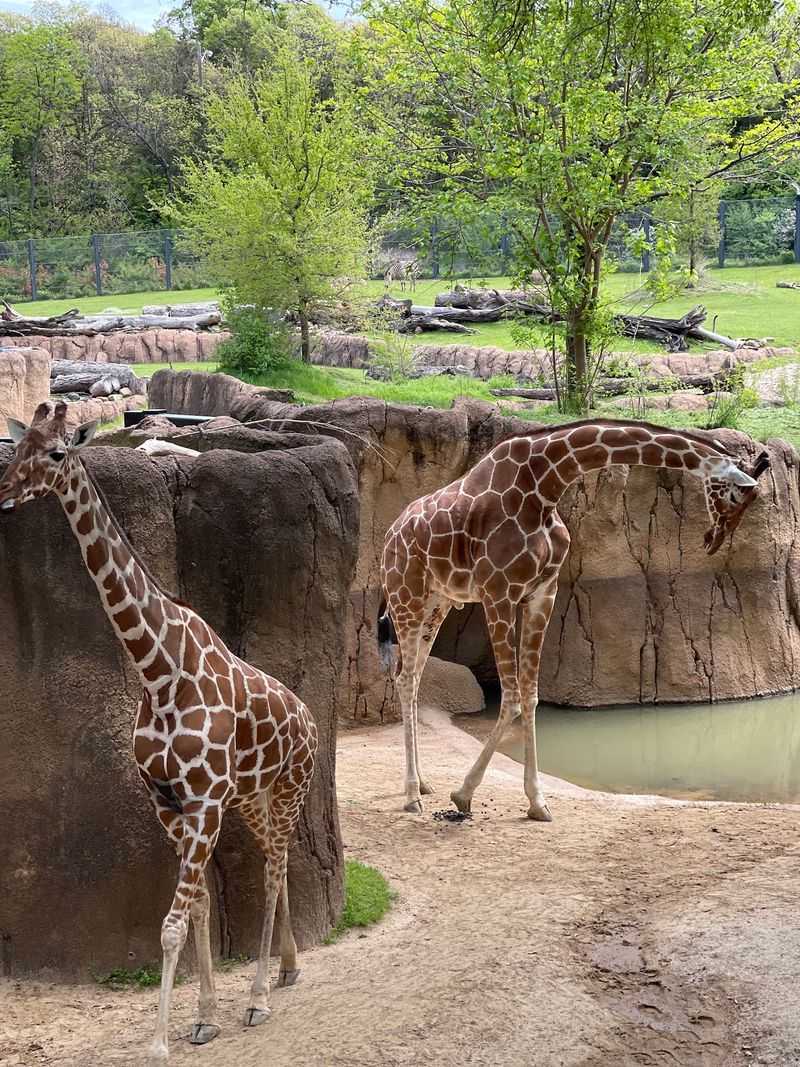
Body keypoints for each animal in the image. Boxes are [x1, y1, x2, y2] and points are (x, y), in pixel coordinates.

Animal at [0, 402, 318, 1066]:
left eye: (57, 453)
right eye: (17, 448)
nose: (6, 495)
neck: (157, 669)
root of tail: (310, 718)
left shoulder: (201, 801)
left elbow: (172, 923)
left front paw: (161, 1041)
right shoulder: (169, 801)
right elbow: (195, 910)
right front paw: (202, 1018)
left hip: (286, 790)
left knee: (274, 869)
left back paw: (260, 997)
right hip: (250, 799)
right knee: (274, 863)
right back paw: (286, 969)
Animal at [378, 419, 770, 818]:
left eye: (751, 502)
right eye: (735, 496)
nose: (713, 539)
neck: (545, 486)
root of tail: (390, 535)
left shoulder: (541, 594)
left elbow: (531, 696)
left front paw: (537, 802)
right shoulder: (499, 593)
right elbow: (512, 697)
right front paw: (463, 793)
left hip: (437, 604)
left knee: (412, 677)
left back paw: (423, 783)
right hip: (406, 596)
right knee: (405, 678)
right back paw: (411, 795)